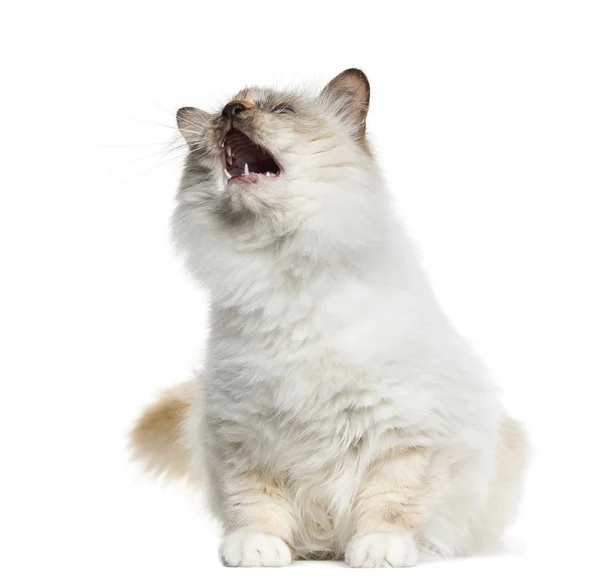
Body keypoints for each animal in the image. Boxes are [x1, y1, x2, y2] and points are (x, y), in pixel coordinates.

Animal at [130, 69, 524, 568]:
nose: (232, 111)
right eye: (226, 110)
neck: (281, 269)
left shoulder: (404, 433)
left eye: (280, 111)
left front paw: (379, 551)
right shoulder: (243, 434)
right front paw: (258, 550)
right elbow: (254, 503)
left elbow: (390, 501)